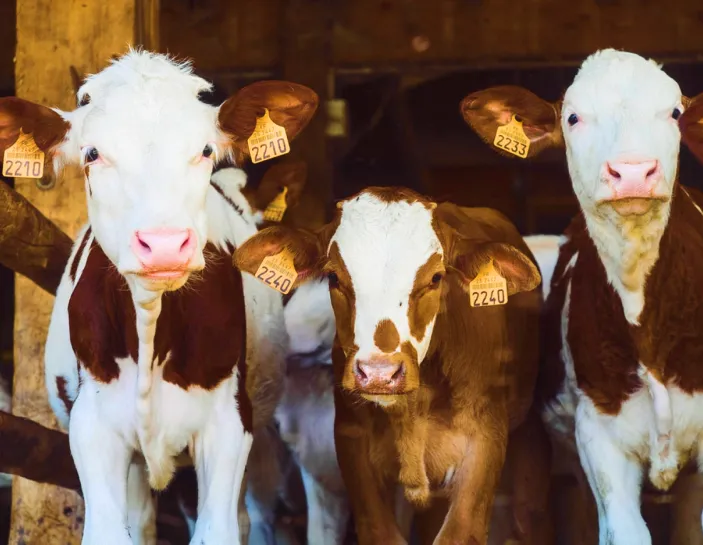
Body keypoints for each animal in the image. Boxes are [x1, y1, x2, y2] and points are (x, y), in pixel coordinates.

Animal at [0, 49, 317, 545]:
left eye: (205, 150)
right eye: (92, 153)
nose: (165, 244)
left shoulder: (229, 424)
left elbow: (217, 529)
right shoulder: (92, 426)